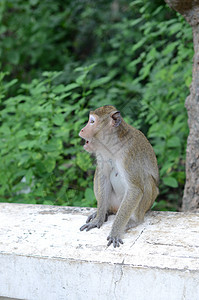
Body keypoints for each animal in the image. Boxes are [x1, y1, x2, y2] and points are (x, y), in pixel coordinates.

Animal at [78, 105, 158, 248]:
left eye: (92, 121)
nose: (82, 129)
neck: (112, 145)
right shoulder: (101, 152)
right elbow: (103, 177)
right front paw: (98, 219)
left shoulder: (129, 154)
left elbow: (135, 189)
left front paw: (115, 231)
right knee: (99, 173)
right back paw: (105, 211)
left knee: (146, 180)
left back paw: (134, 221)